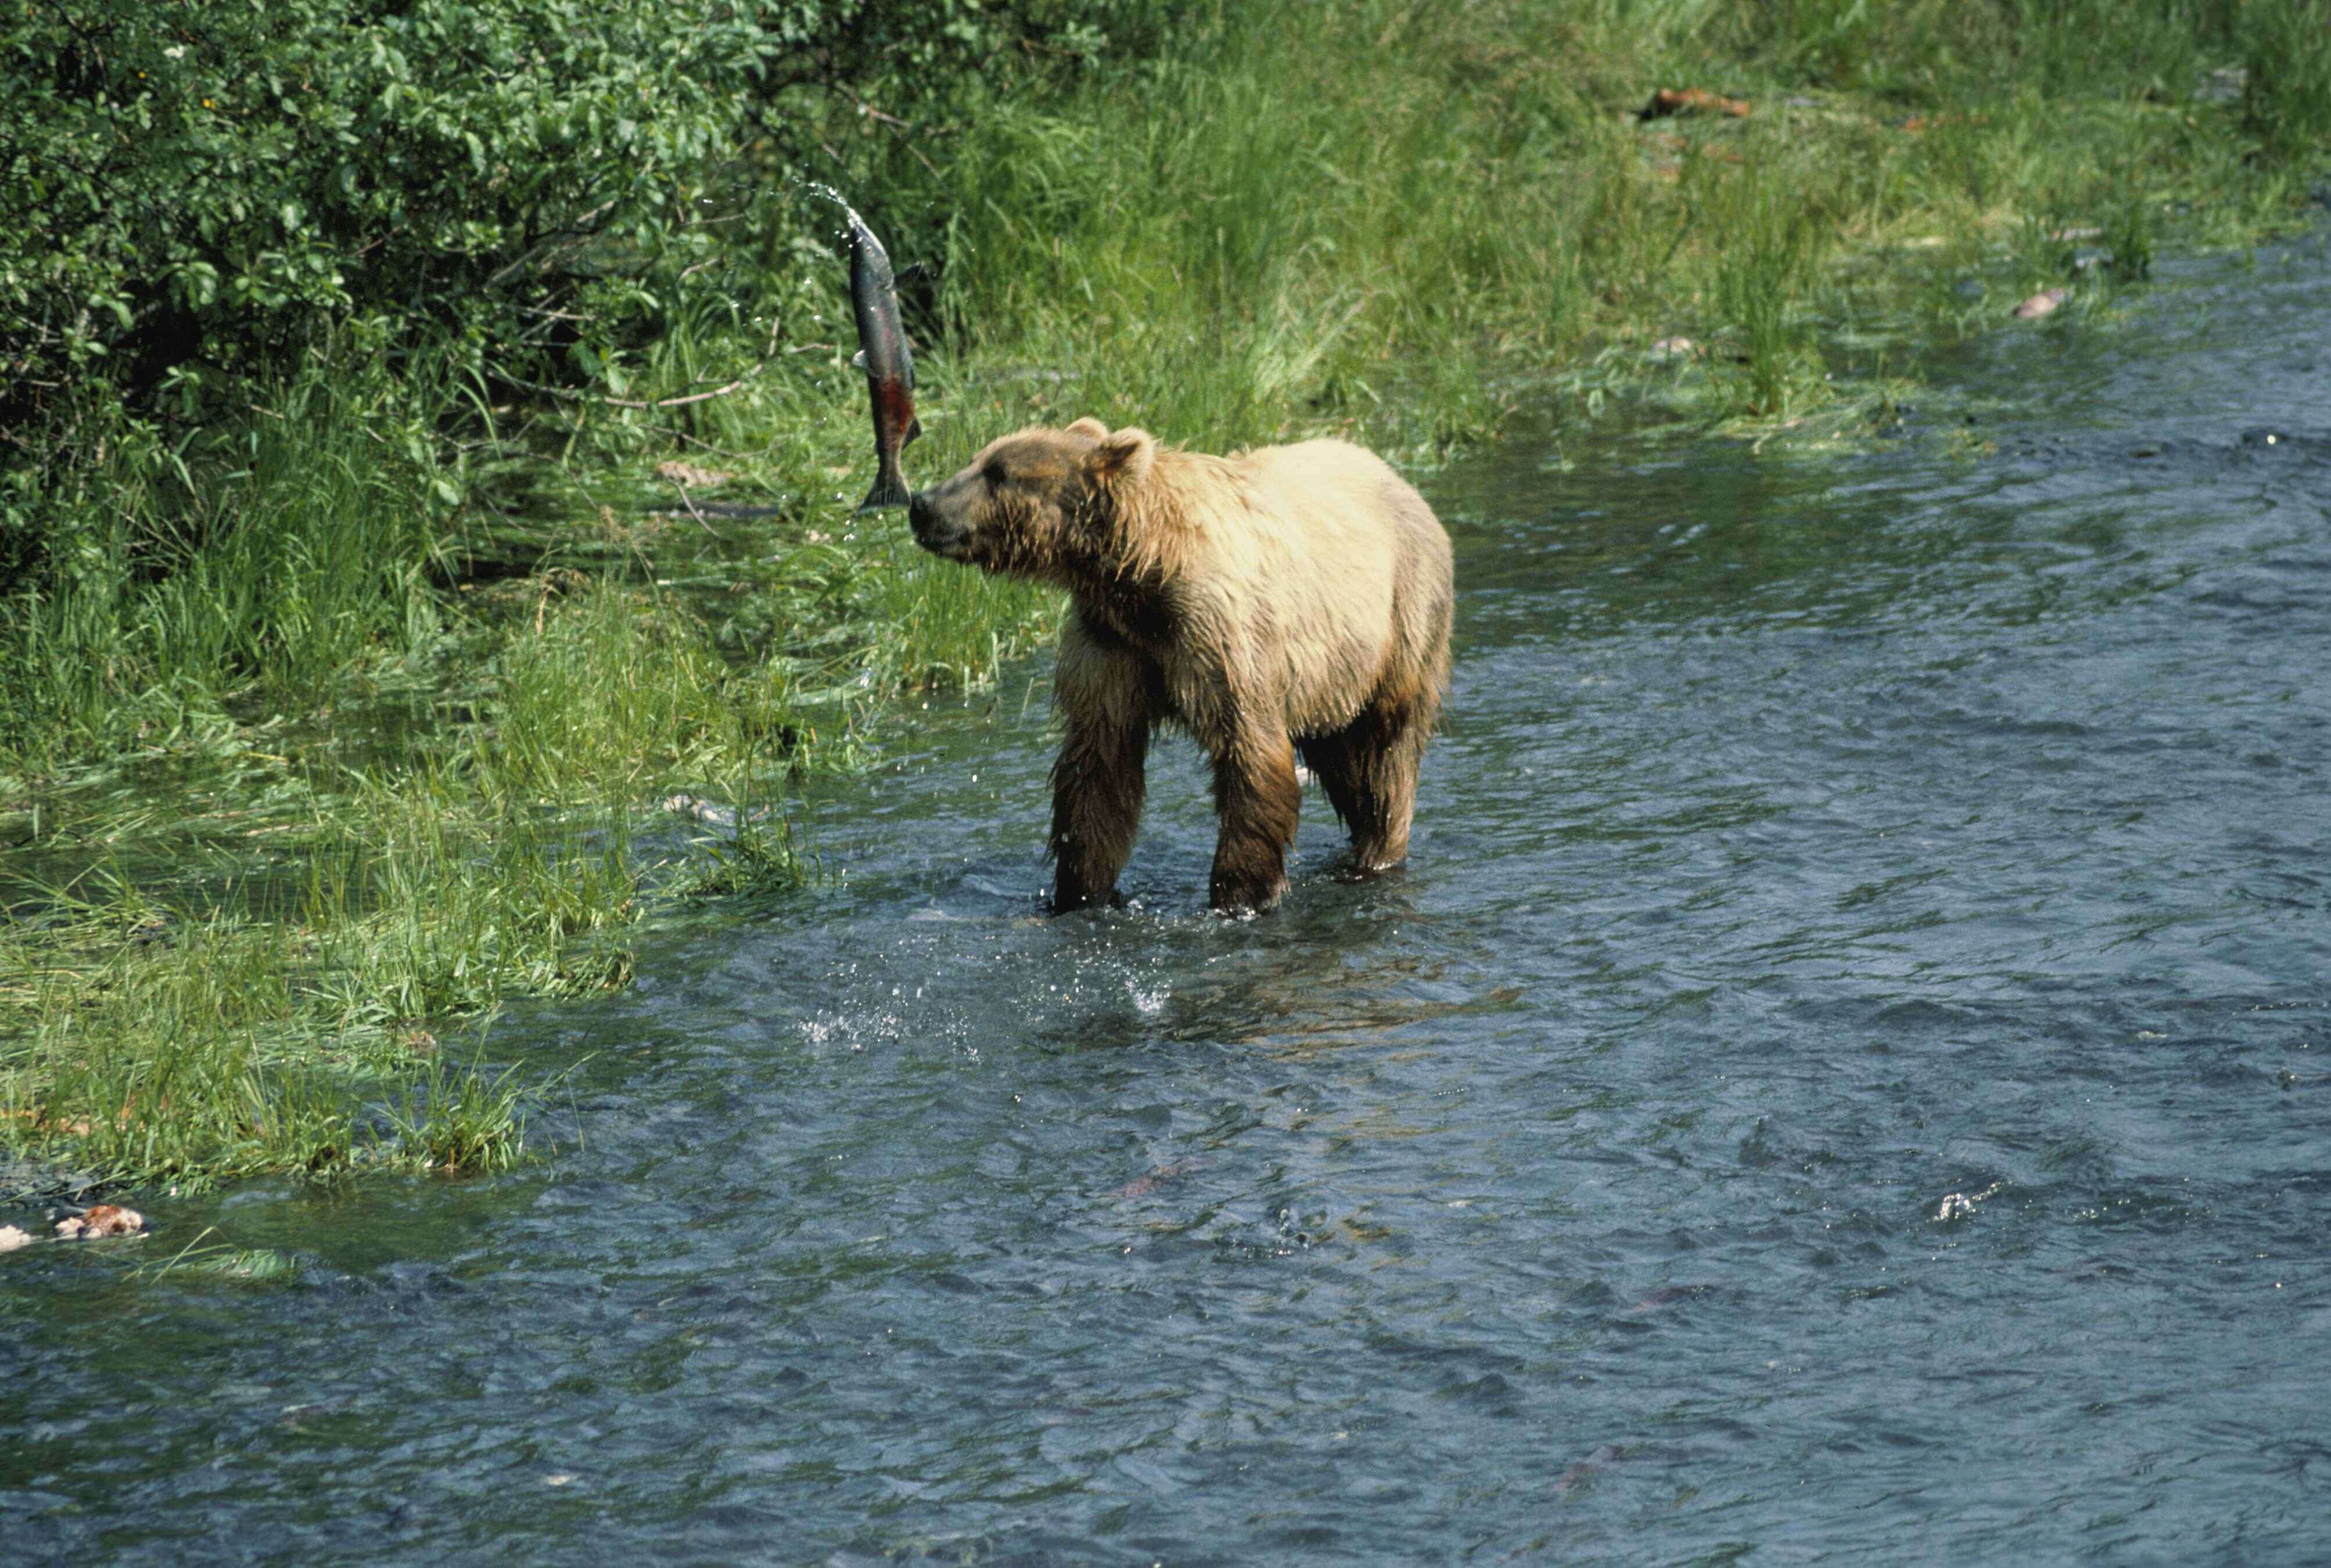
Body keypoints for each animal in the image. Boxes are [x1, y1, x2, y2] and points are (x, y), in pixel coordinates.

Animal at [914, 415, 1445, 913]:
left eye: (999, 473)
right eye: (978, 459)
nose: (922, 503)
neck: (1139, 573)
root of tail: (1396, 476)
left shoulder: (1216, 633)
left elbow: (1248, 748)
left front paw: (1239, 892)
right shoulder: (1110, 643)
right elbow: (1099, 765)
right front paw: (1079, 889)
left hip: (1399, 622)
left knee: (1384, 756)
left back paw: (1376, 851)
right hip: (1333, 680)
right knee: (1341, 758)